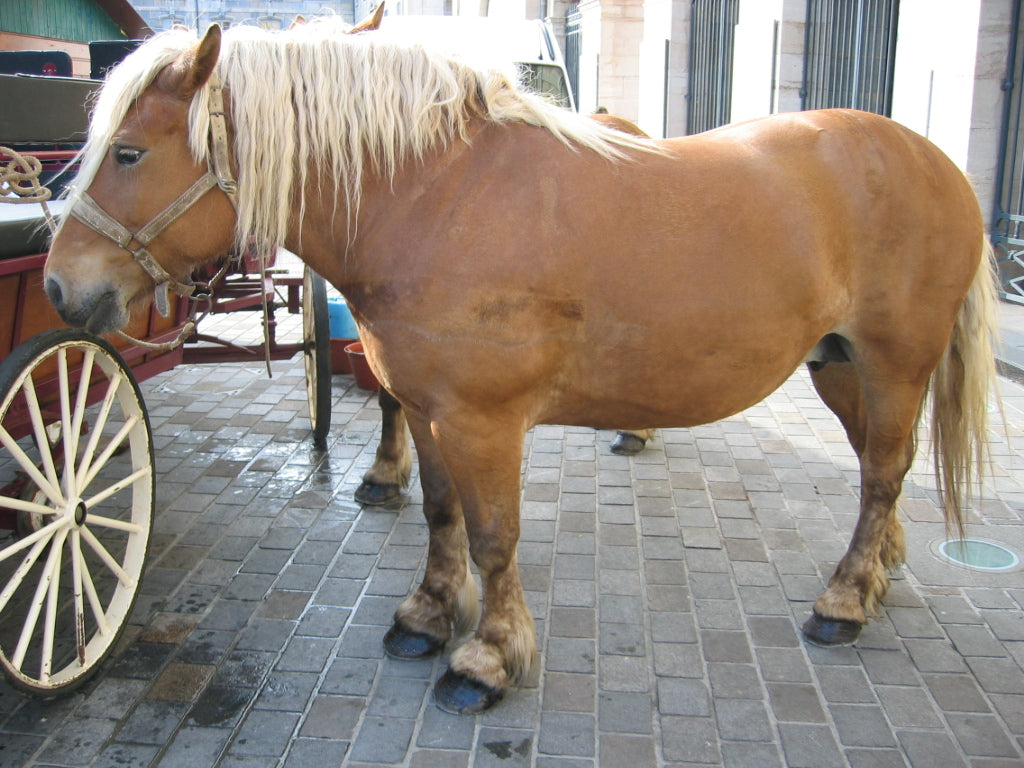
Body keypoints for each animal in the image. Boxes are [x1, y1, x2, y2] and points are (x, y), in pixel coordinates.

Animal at [44, 22, 999, 714]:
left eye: (128, 153)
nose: (60, 287)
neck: (434, 197)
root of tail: (935, 162)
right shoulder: (422, 408)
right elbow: (440, 515)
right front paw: (427, 617)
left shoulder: (484, 421)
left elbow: (495, 537)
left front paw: (487, 660)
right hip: (840, 368)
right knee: (880, 469)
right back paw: (877, 573)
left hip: (895, 363)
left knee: (883, 472)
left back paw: (842, 603)